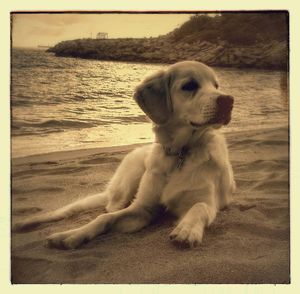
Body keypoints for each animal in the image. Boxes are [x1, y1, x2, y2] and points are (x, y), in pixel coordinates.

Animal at [13, 60, 234, 249]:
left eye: (216, 85)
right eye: (189, 85)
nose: (228, 100)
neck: (180, 153)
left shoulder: (207, 202)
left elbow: (200, 207)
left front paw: (187, 229)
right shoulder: (143, 209)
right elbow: (104, 218)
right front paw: (73, 234)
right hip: (130, 177)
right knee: (110, 207)